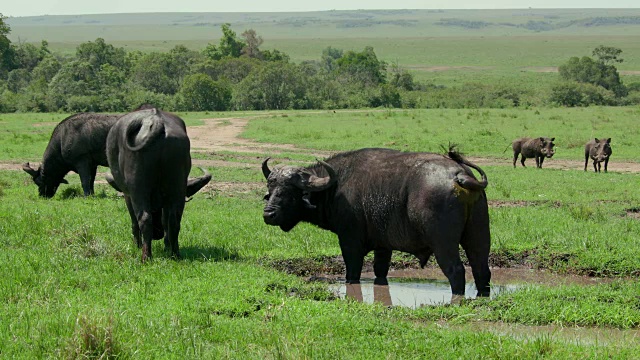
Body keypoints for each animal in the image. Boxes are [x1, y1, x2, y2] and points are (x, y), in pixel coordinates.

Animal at [106, 107, 211, 262]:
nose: (157, 235)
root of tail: (157, 121)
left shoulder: (127, 195)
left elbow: (134, 221)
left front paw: (136, 245)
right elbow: (165, 220)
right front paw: (167, 246)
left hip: (138, 188)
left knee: (144, 218)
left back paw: (146, 256)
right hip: (177, 186)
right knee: (174, 220)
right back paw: (175, 254)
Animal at [262, 148, 492, 296]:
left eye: (289, 193)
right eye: (271, 190)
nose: (268, 215)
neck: (336, 186)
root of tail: (458, 175)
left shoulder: (350, 242)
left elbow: (352, 272)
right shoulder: (384, 246)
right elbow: (380, 270)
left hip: (443, 244)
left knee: (457, 271)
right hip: (479, 237)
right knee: (481, 270)